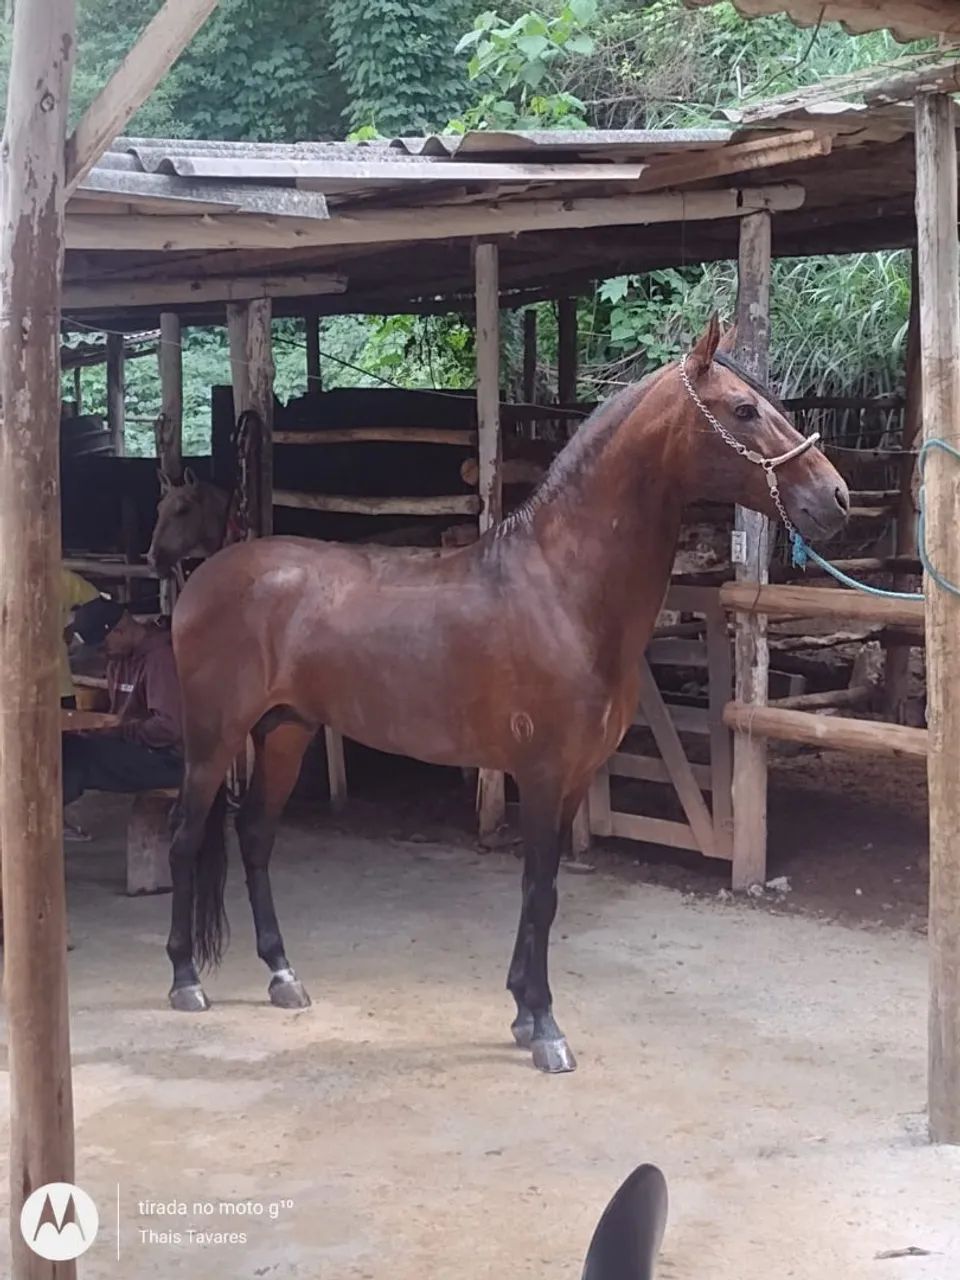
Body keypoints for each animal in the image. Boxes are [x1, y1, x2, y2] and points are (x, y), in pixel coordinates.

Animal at [165, 316, 849, 1073]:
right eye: (744, 409)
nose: (837, 498)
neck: (561, 588)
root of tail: (205, 576)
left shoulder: (574, 778)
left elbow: (541, 895)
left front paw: (523, 1013)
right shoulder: (542, 773)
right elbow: (539, 891)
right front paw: (545, 1027)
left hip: (284, 731)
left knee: (254, 837)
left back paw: (282, 976)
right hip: (213, 739)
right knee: (186, 835)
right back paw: (186, 981)